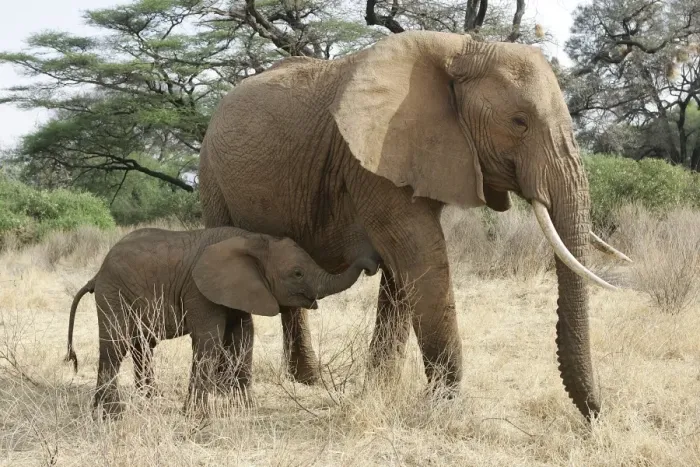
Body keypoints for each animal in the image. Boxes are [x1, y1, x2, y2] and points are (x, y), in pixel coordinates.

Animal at [64, 226, 379, 418]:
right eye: (298, 273)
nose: (373, 263)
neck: (254, 240)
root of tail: (97, 274)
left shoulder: (241, 289)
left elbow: (244, 338)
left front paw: (247, 409)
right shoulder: (200, 290)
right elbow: (209, 339)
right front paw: (196, 416)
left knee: (140, 346)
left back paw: (146, 401)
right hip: (113, 292)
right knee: (116, 346)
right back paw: (111, 414)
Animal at [197, 30, 631, 420]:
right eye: (519, 122)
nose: (596, 417)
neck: (464, 49)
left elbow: (402, 271)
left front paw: (379, 390)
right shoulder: (373, 163)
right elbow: (419, 253)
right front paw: (445, 404)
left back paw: (307, 381)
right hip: (212, 180)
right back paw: (233, 389)